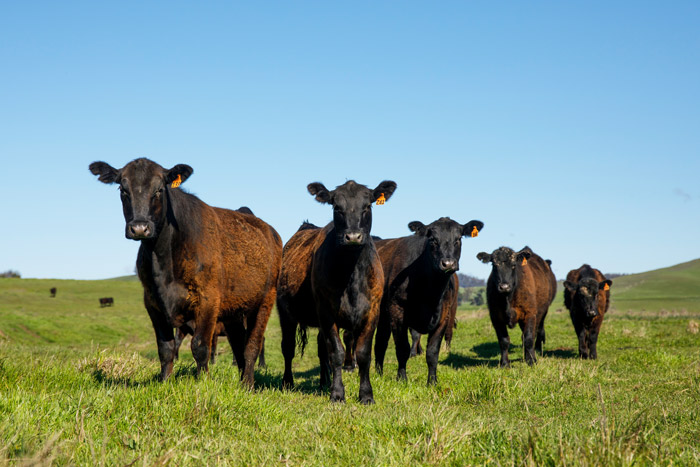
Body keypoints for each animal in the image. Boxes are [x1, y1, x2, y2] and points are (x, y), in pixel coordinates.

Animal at [89, 158, 282, 386]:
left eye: (159, 189)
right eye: (123, 189)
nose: (139, 228)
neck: (164, 260)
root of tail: (268, 230)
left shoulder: (208, 299)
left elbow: (200, 346)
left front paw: (203, 382)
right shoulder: (152, 302)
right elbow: (166, 348)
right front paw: (164, 382)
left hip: (264, 300)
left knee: (252, 345)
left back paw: (248, 385)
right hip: (234, 309)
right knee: (238, 343)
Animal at [276, 179, 396, 404]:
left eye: (367, 206)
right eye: (336, 208)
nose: (353, 236)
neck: (351, 275)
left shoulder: (372, 312)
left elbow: (363, 354)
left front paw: (366, 394)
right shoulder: (326, 312)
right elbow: (337, 352)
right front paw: (338, 393)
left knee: (320, 348)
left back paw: (324, 381)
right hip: (285, 313)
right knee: (288, 348)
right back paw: (288, 382)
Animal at [374, 217, 484, 384]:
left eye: (458, 239)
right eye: (433, 239)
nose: (448, 264)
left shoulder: (444, 315)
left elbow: (432, 352)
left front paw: (432, 382)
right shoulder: (397, 311)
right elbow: (402, 348)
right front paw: (402, 379)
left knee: (381, 341)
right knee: (379, 342)